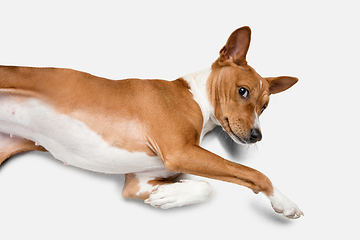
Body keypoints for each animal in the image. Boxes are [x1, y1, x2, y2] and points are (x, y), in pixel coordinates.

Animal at [0, 26, 304, 219]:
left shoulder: (138, 182)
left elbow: (206, 186)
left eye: (264, 107)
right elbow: (253, 173)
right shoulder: (179, 152)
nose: (256, 135)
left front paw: (170, 196)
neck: (194, 95)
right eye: (243, 91)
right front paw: (284, 202)